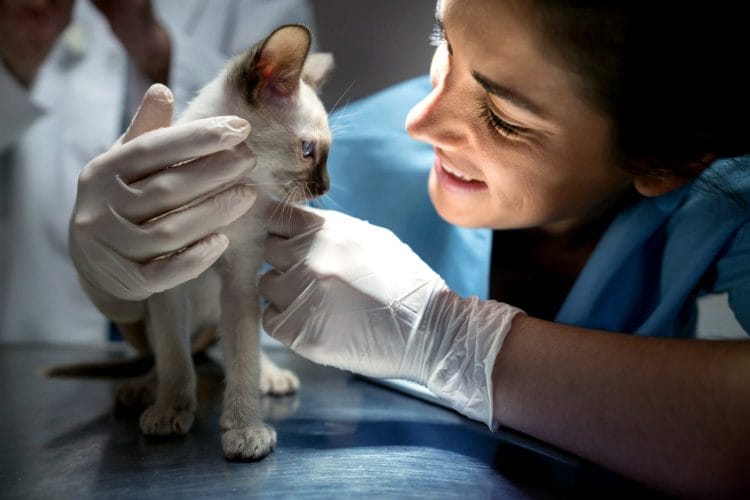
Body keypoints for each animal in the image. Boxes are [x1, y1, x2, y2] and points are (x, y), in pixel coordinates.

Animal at [125, 25, 332, 458]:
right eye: (308, 151)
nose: (325, 186)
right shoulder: (167, 286)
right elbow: (174, 360)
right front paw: (171, 409)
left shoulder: (240, 282)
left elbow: (243, 360)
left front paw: (244, 429)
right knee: (173, 354)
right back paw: (143, 389)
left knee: (238, 348)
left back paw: (271, 377)